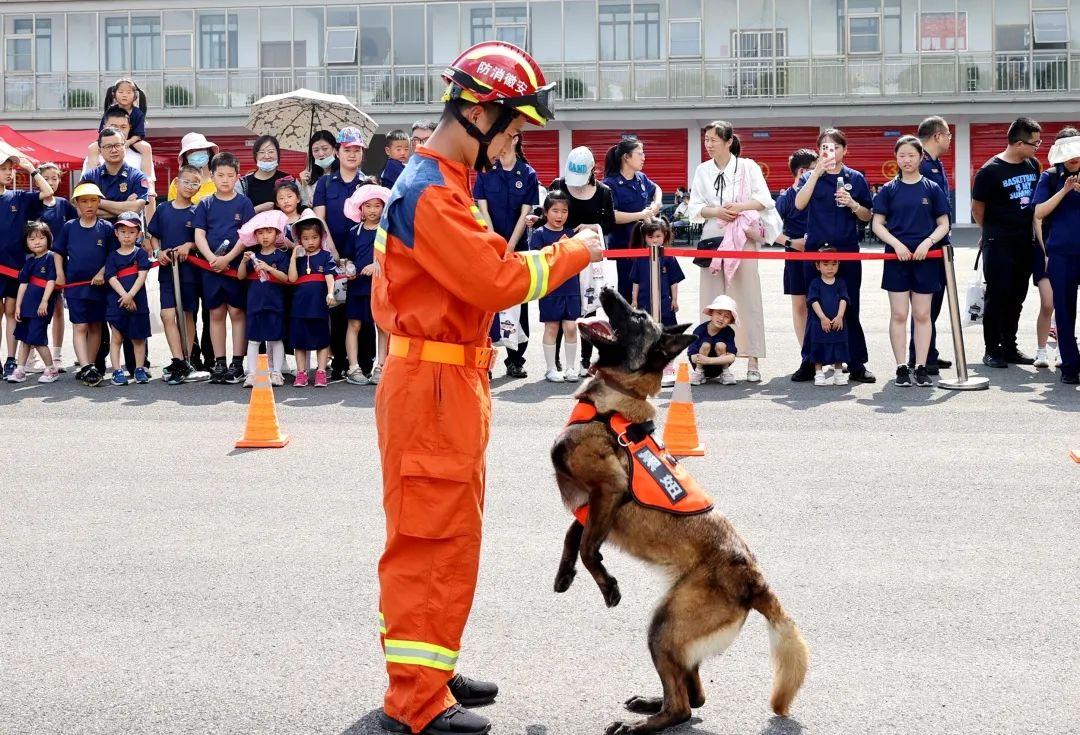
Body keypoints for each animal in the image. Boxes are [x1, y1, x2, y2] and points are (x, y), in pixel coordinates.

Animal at [552, 289, 807, 729]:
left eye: (638, 317)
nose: (605, 290)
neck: (614, 400)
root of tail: (756, 582)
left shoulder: (608, 490)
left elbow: (587, 548)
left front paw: (608, 586)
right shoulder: (590, 507)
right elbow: (575, 539)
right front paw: (565, 574)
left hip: (664, 627)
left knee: (683, 707)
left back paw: (642, 723)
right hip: (676, 628)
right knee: (695, 695)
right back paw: (650, 703)